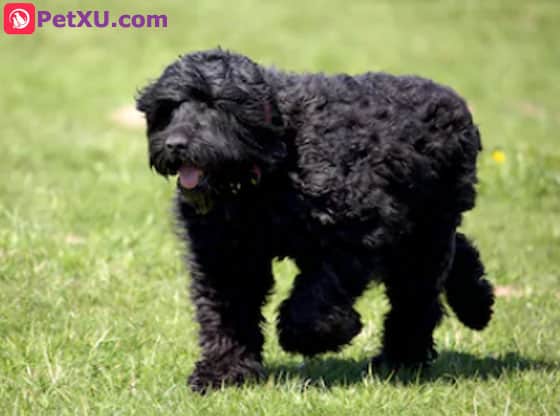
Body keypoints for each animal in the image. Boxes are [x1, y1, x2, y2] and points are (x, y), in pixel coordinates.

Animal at [137, 49, 494, 394]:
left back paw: (405, 355)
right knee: (454, 255)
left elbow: (315, 298)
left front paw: (316, 335)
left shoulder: (355, 234)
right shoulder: (226, 257)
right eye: (168, 108)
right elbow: (228, 316)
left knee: (417, 299)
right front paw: (223, 373)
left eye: (214, 105)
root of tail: (451, 100)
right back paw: (473, 306)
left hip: (423, 238)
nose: (175, 144)